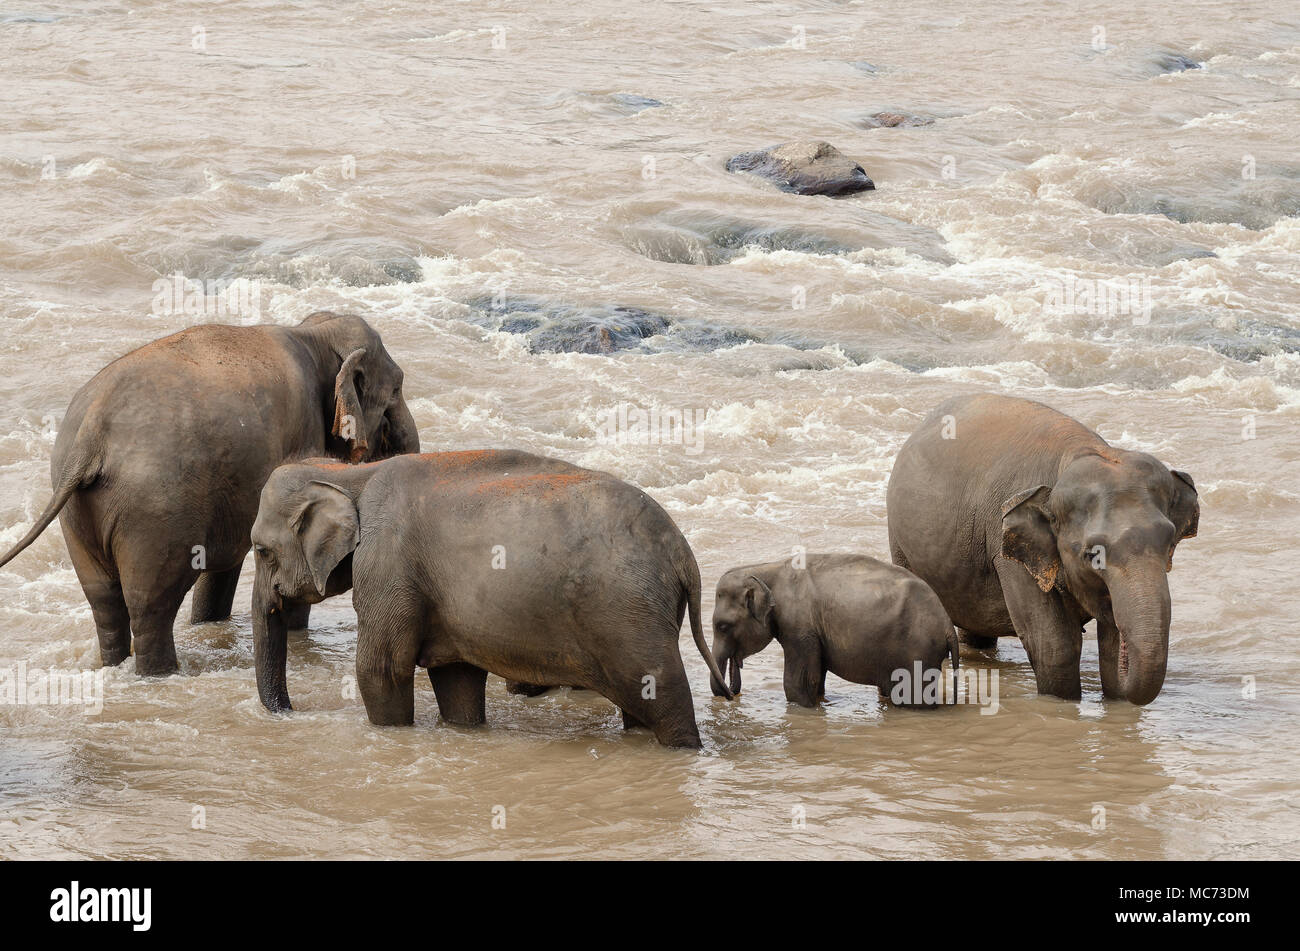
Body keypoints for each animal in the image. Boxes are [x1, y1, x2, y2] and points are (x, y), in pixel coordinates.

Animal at [0, 311, 418, 675]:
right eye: (397, 387)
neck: (311, 333)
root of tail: (90, 434)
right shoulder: (303, 433)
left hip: (76, 512)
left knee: (104, 600)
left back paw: (116, 666)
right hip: (155, 513)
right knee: (150, 604)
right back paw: (161, 674)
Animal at [248, 449, 738, 748]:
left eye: (261, 550)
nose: (292, 712)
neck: (349, 473)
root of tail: (683, 552)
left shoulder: (388, 566)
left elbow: (382, 669)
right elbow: (456, 677)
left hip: (630, 615)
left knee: (663, 693)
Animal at [707, 550, 961, 706]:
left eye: (723, 626)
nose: (731, 694)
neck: (766, 569)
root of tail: (947, 625)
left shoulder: (800, 627)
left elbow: (798, 683)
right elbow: (816, 677)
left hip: (918, 651)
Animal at [883, 394, 1196, 706]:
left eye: (1169, 543)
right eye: (1092, 555)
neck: (1078, 455)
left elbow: (1108, 642)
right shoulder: (1005, 547)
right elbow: (1054, 647)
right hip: (900, 542)